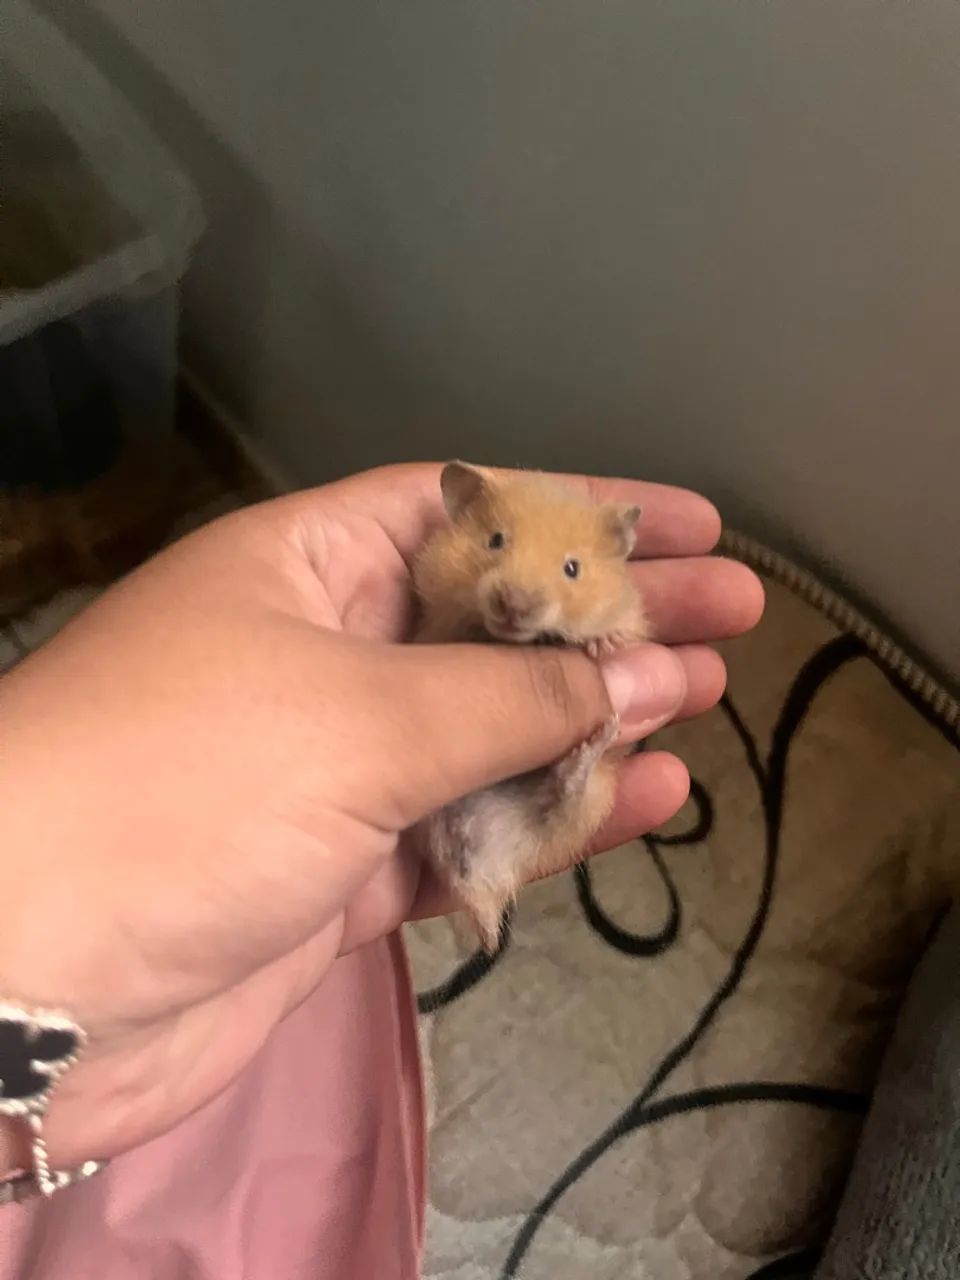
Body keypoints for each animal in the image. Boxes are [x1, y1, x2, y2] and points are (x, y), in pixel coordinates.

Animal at [411, 461, 650, 952]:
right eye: (495, 541)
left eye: (572, 568)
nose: (513, 605)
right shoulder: (434, 601)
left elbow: (617, 635)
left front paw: (601, 644)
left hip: (594, 801)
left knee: (563, 797)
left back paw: (595, 743)